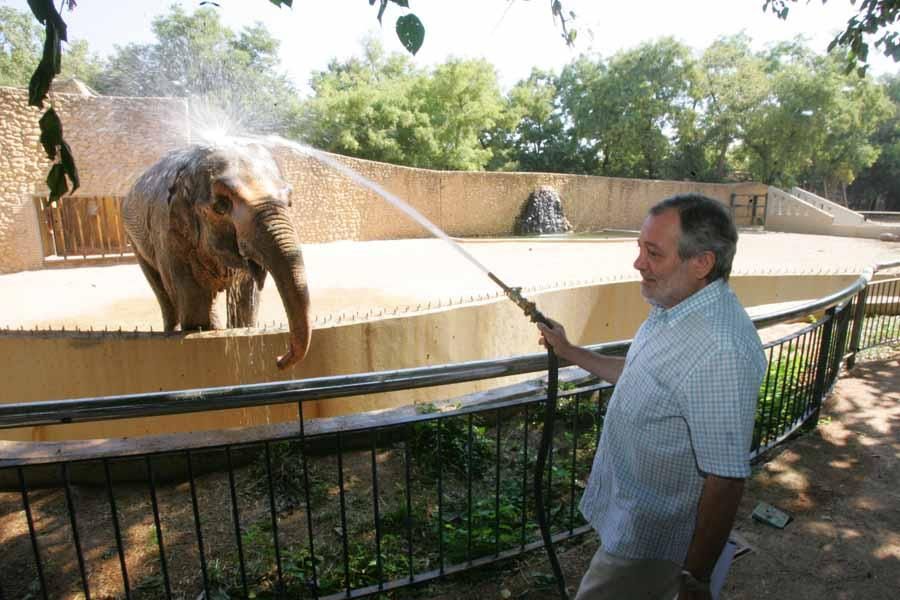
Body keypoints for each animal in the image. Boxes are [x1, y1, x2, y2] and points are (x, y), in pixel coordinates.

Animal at [121, 143, 312, 368]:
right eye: (221, 205)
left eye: (289, 201)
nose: (278, 359)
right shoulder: (169, 238)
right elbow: (194, 306)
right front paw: (210, 331)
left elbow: (246, 303)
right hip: (135, 241)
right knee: (161, 291)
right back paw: (169, 331)